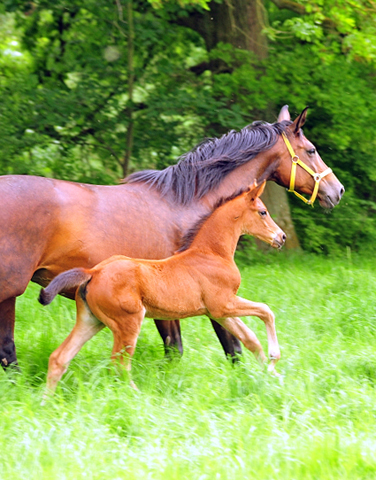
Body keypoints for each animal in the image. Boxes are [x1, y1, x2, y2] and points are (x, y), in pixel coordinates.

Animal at [39, 182, 284, 392]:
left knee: (59, 358)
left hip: (91, 320)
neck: (212, 254)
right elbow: (266, 311)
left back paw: (46, 401)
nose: (281, 237)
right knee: (119, 365)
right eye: (263, 212)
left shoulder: (216, 312)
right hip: (128, 323)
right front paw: (274, 360)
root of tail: (93, 273)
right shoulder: (223, 304)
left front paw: (270, 375)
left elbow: (250, 339)